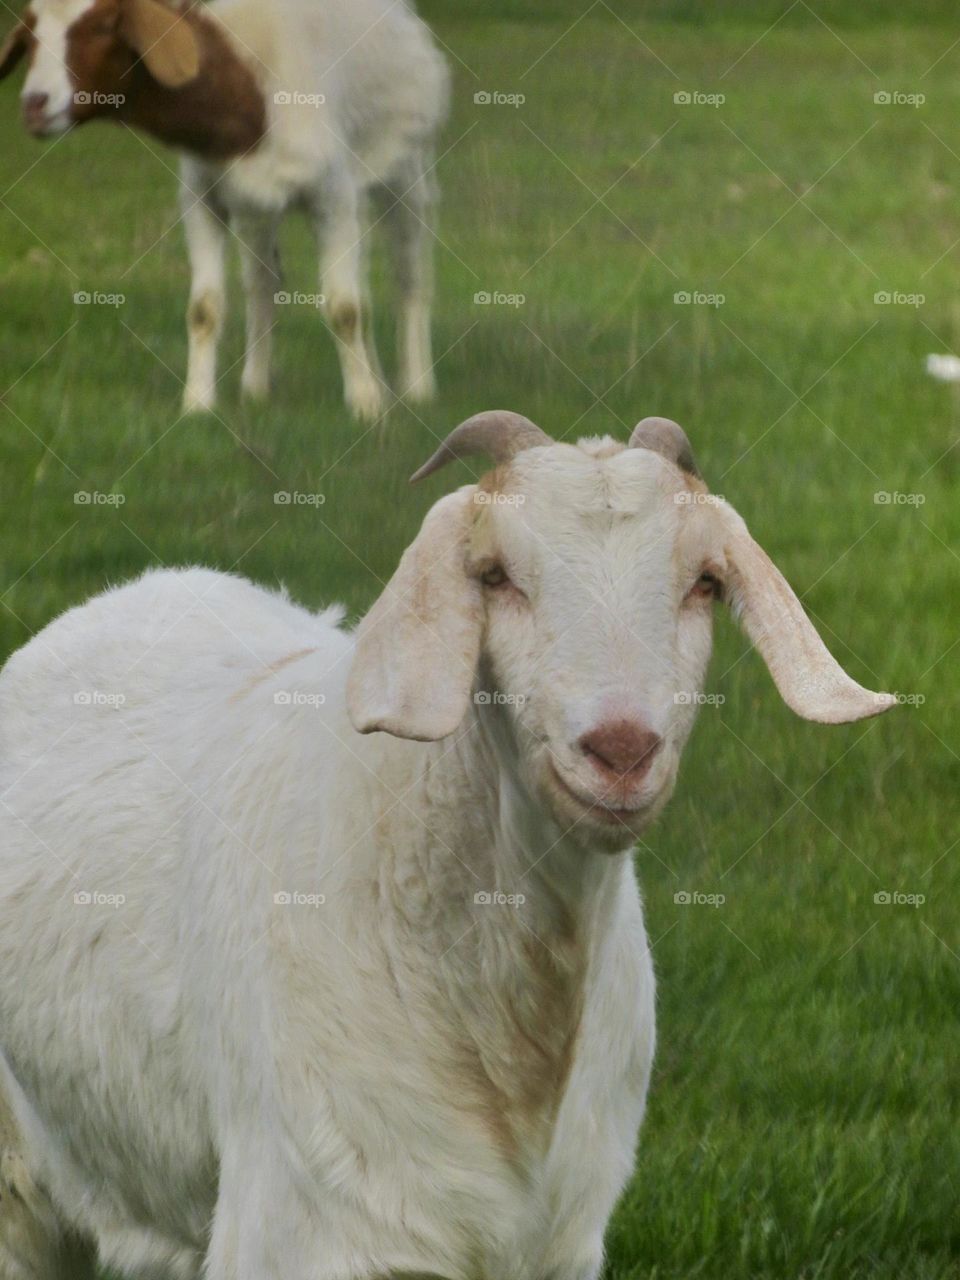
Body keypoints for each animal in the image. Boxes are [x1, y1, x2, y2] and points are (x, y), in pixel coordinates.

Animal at [0, 0, 449, 419]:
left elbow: (344, 308)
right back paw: (259, 387)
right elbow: (205, 308)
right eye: (29, 34)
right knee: (265, 283)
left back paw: (416, 387)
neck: (246, 97)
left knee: (410, 275)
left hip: (405, 170)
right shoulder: (203, 199)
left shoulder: (333, 197)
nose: (34, 105)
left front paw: (365, 406)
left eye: (103, 26)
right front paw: (197, 404)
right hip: (259, 209)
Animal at [0, 413, 894, 1280]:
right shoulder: (301, 1224)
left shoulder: (557, 1246)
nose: (620, 750)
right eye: (494, 574)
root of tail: (142, 590)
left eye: (705, 581)